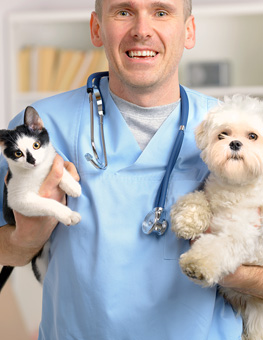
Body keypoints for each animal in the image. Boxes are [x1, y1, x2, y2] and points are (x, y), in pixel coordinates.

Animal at [0, 105, 81, 290]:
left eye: (36, 145)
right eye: (18, 153)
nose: (32, 160)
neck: (36, 173)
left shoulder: (52, 160)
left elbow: (57, 166)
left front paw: (71, 184)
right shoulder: (17, 198)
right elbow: (47, 202)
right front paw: (67, 214)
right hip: (39, 263)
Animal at [172, 93, 263, 340]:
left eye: (253, 136)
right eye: (223, 134)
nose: (234, 143)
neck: (235, 187)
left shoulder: (243, 234)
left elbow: (217, 247)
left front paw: (197, 264)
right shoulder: (209, 194)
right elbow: (196, 199)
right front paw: (188, 219)